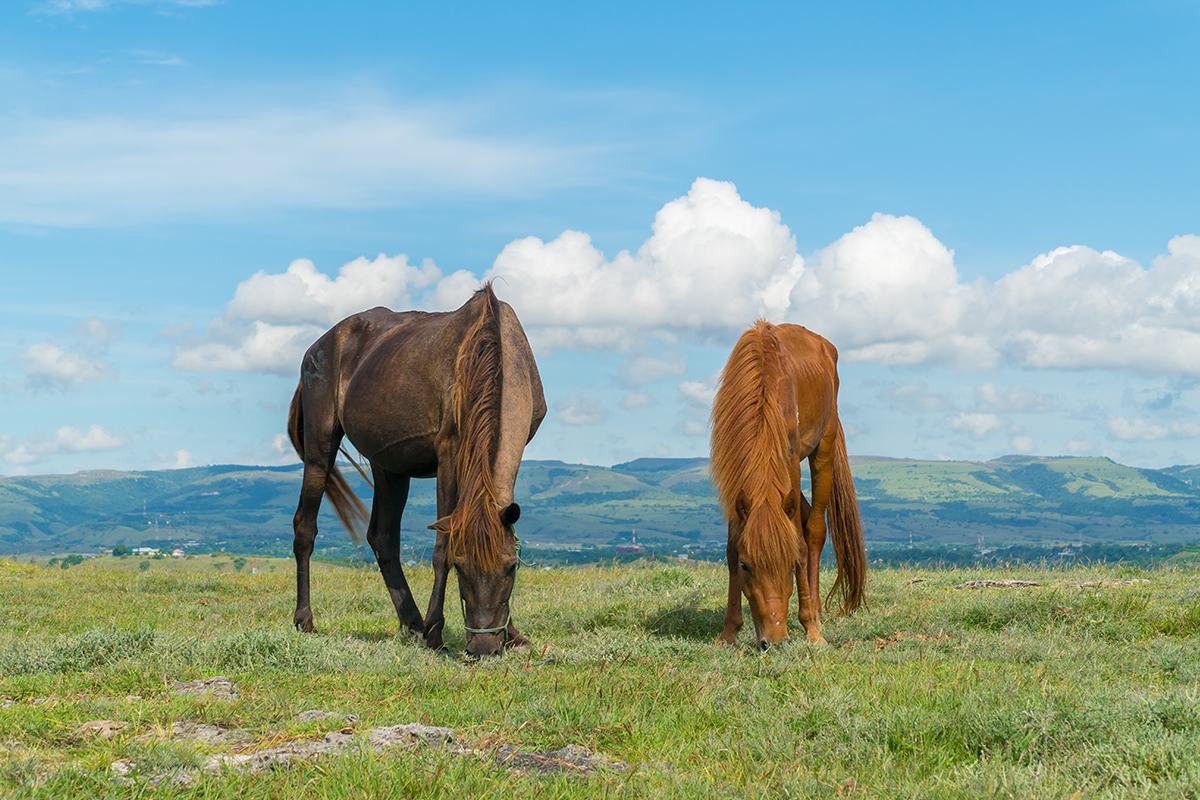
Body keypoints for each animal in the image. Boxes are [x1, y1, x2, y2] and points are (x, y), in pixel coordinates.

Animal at [283, 286, 547, 657]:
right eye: (460, 567)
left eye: (512, 567)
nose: (483, 647)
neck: (489, 347)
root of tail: (319, 345)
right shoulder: (449, 451)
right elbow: (441, 548)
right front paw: (436, 633)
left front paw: (513, 635)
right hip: (320, 450)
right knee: (305, 528)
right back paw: (305, 620)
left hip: (388, 464)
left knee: (383, 538)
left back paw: (412, 622)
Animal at [705, 321, 868, 652]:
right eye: (746, 566)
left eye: (790, 565)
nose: (775, 641)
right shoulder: (735, 482)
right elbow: (730, 548)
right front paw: (729, 632)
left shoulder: (790, 461)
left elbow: (802, 545)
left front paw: (812, 630)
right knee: (803, 517)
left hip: (823, 449)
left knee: (815, 530)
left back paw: (815, 612)